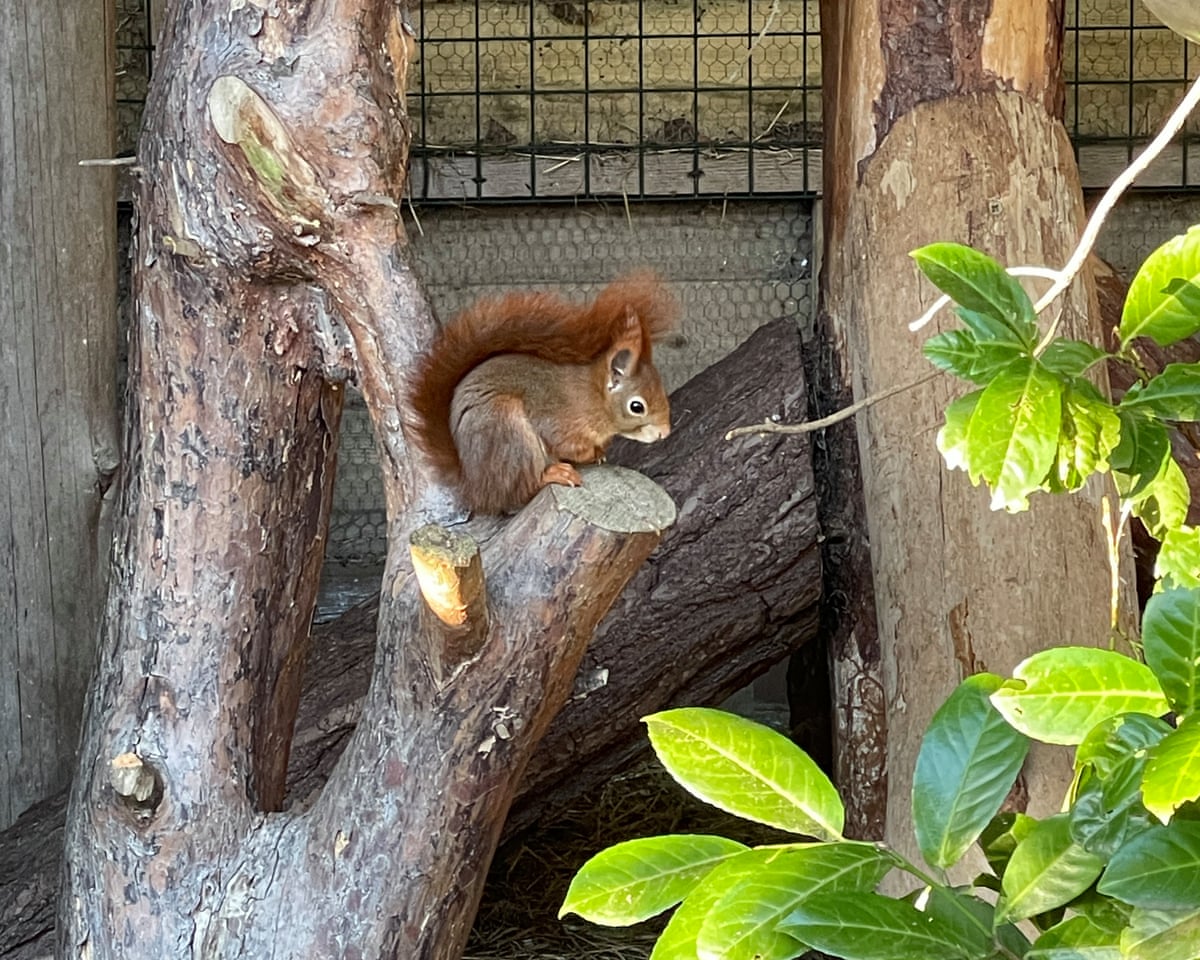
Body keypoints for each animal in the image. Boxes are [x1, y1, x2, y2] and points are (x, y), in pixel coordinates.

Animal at [408, 272, 678, 514]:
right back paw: (554, 474)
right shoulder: (556, 419)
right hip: (507, 430)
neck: (591, 398)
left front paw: (600, 453)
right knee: (520, 489)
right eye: (636, 407)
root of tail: (475, 487)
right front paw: (589, 453)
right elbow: (563, 442)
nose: (665, 433)